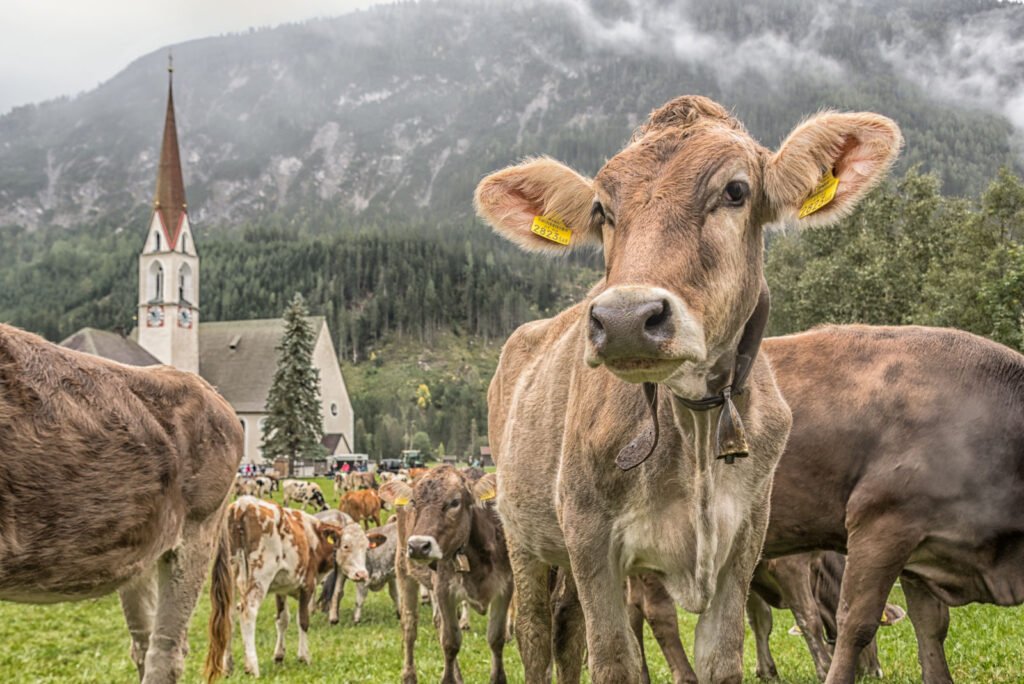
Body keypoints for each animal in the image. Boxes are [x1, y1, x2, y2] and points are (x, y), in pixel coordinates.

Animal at [203, 496, 368, 680]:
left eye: (366, 547)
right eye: (346, 546)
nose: (362, 574)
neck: (312, 537)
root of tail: (241, 505)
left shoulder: (280, 589)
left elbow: (282, 620)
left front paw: (279, 655)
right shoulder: (307, 586)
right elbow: (303, 620)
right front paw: (304, 656)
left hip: (230, 579)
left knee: (228, 615)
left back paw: (227, 666)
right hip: (260, 577)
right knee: (247, 612)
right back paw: (252, 667)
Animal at [380, 467, 513, 684]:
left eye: (454, 502)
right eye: (413, 502)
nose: (418, 546)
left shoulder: (505, 587)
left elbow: (496, 637)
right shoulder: (444, 589)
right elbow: (450, 642)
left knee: (437, 621)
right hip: (403, 569)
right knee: (409, 626)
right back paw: (409, 675)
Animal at [473, 95, 901, 682]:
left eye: (736, 191)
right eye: (602, 210)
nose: (625, 318)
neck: (694, 422)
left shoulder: (744, 543)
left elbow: (722, 658)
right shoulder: (589, 538)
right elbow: (614, 660)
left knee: (567, 630)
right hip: (524, 535)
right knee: (536, 634)